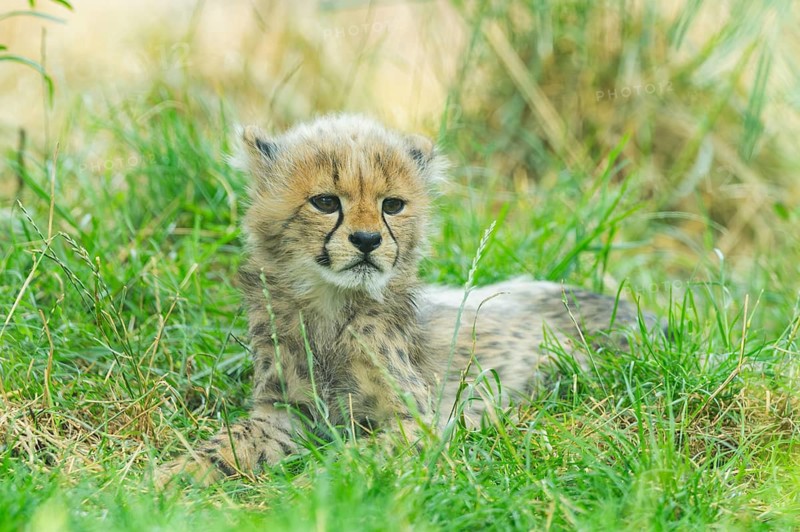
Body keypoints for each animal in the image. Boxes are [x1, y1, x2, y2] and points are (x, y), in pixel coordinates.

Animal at [157, 114, 658, 485]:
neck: (332, 305)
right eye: (325, 202)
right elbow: (228, 442)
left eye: (392, 205)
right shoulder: (283, 412)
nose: (366, 240)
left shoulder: (424, 420)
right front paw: (172, 477)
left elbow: (359, 454)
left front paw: (314, 484)